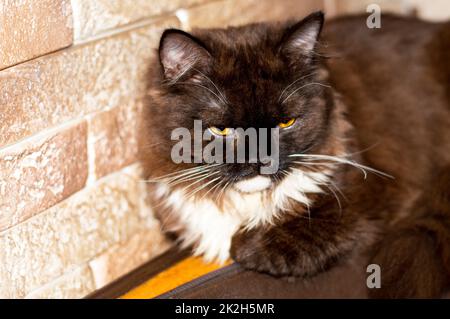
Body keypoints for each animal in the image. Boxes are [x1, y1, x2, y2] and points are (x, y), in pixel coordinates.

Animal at [142, 10, 450, 300]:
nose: (260, 160)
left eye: (285, 123)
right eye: (222, 130)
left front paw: (245, 244)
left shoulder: (372, 192)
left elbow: (308, 227)